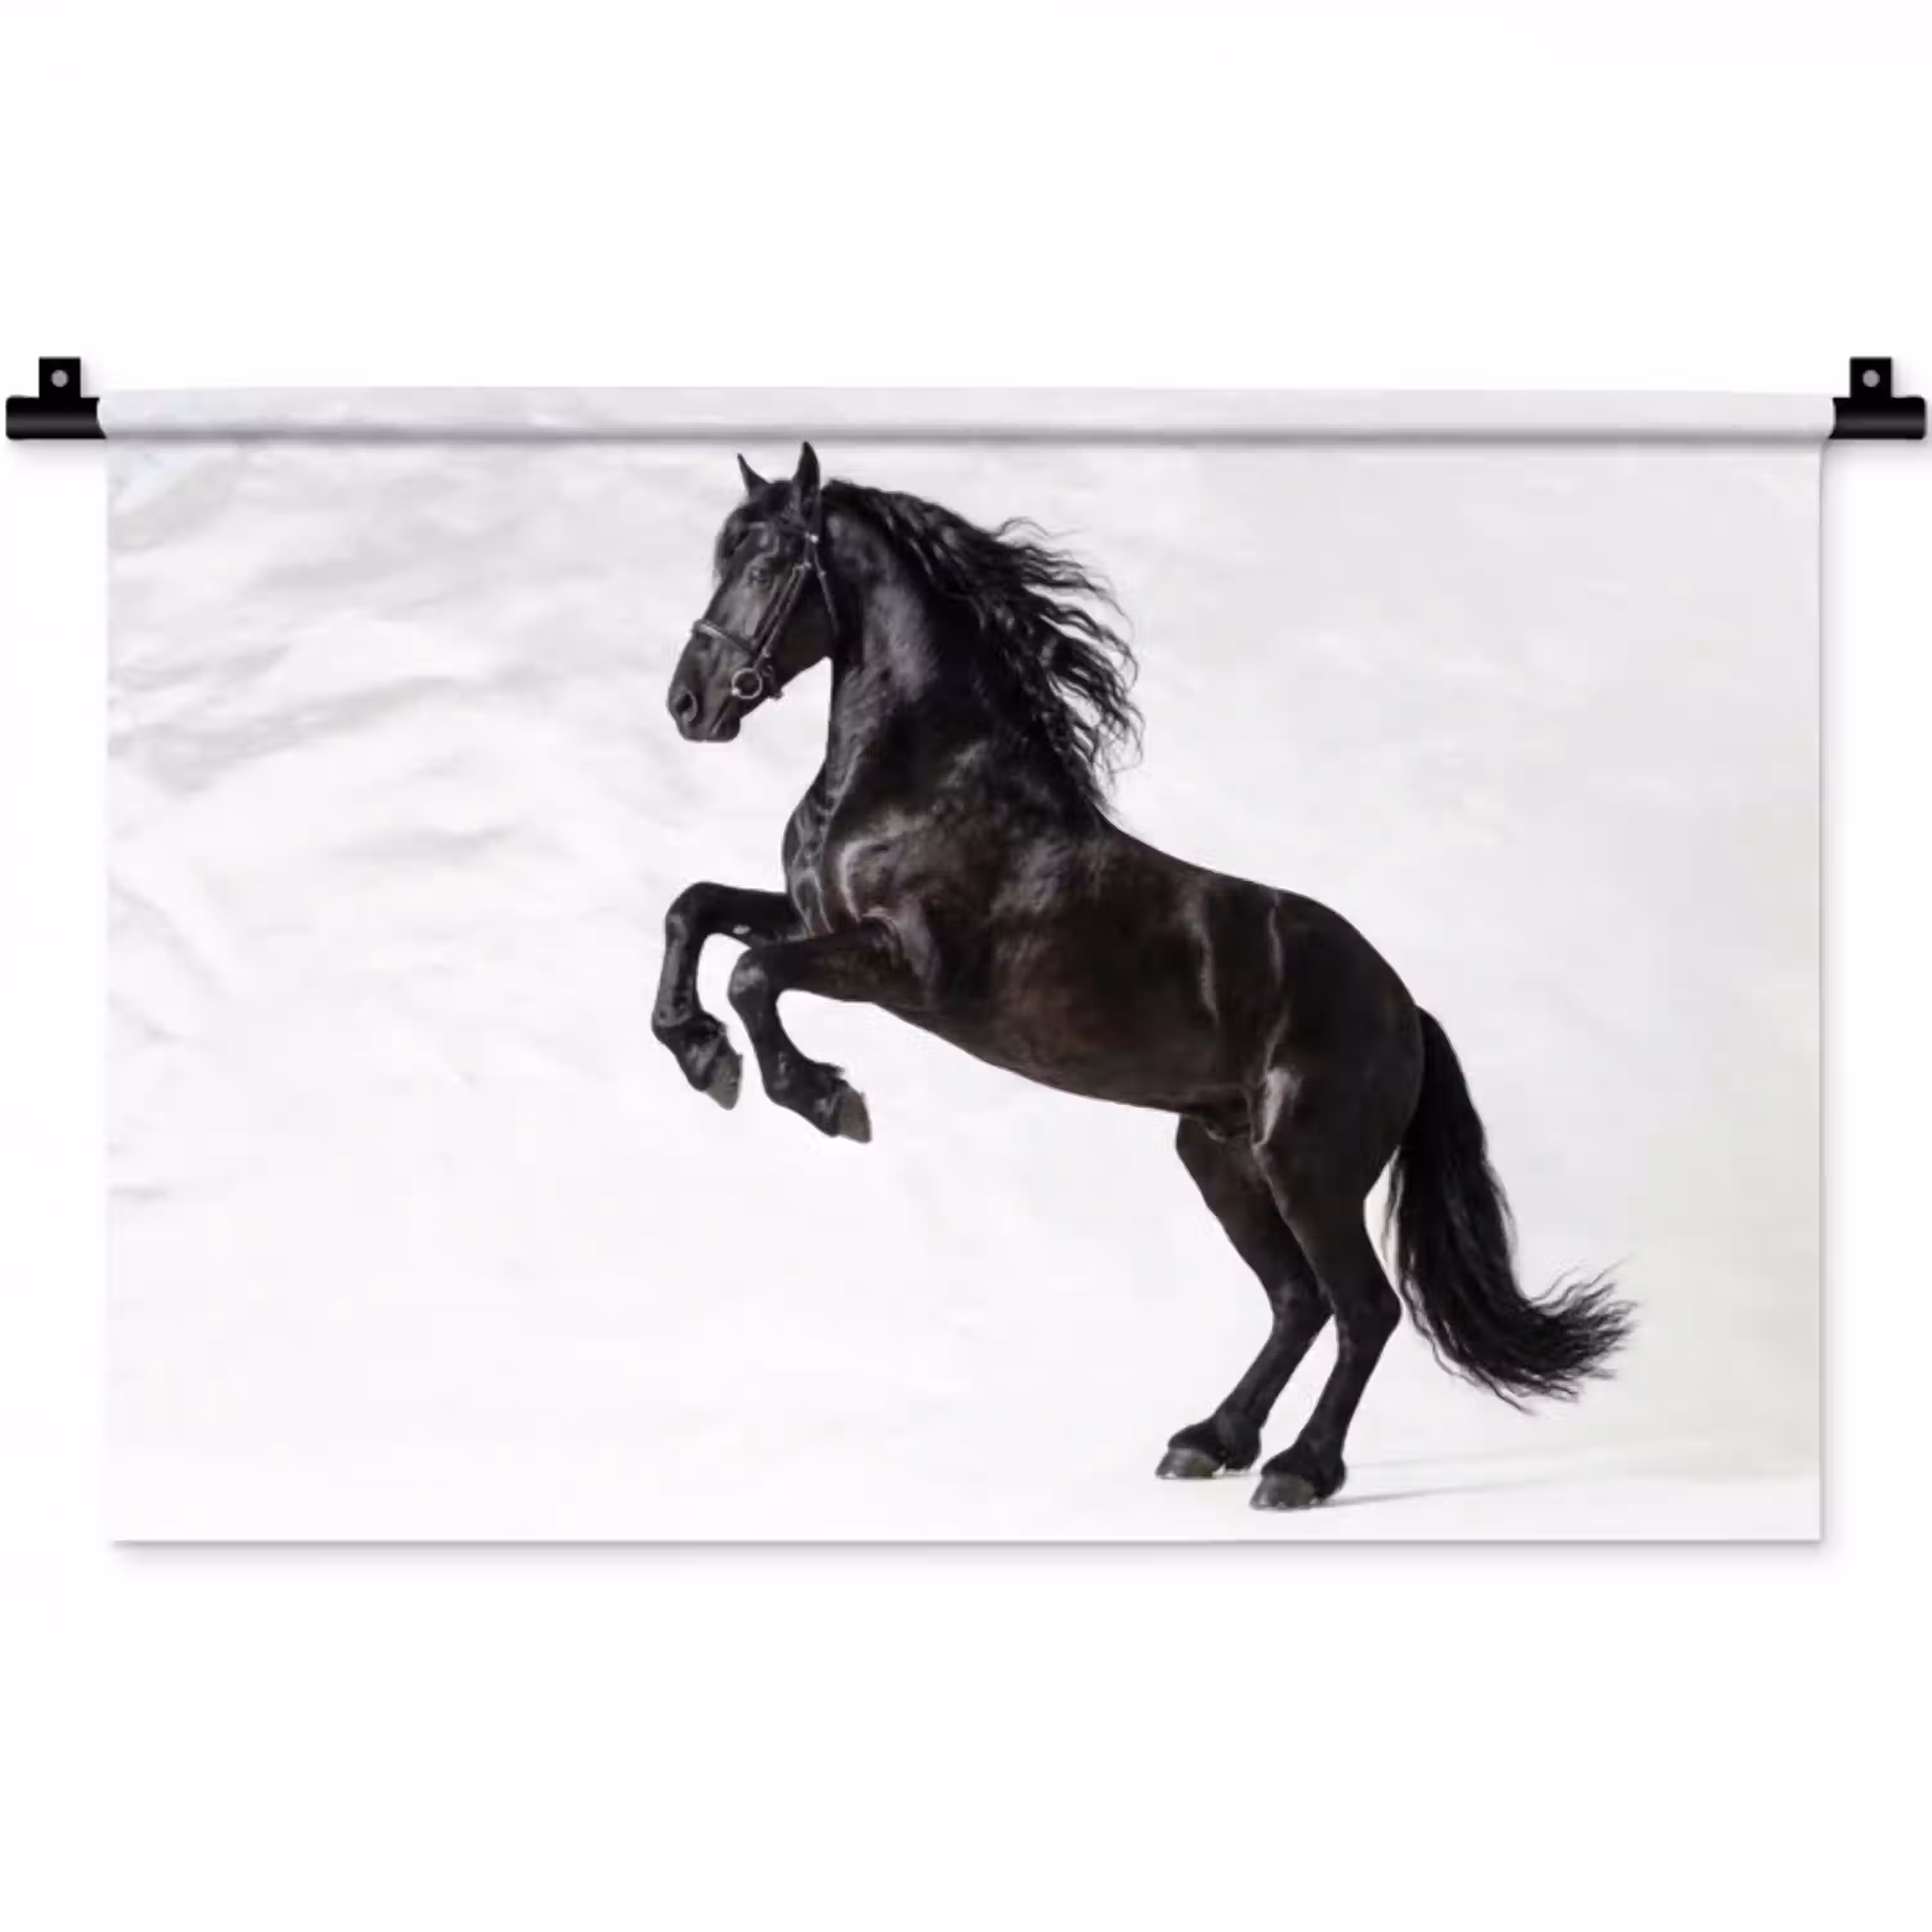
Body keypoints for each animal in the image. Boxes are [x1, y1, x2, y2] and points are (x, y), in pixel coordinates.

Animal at [653, 442, 1629, 1509]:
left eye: (766, 565)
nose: (690, 704)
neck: (918, 783)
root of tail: (1407, 1009)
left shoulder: (900, 966)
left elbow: (753, 973)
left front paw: (823, 1098)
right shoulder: (815, 919)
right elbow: (695, 910)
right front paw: (702, 1056)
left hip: (1310, 1165)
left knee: (1363, 1307)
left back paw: (1298, 1471)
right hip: (1221, 1157)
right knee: (1298, 1301)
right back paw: (1208, 1441)